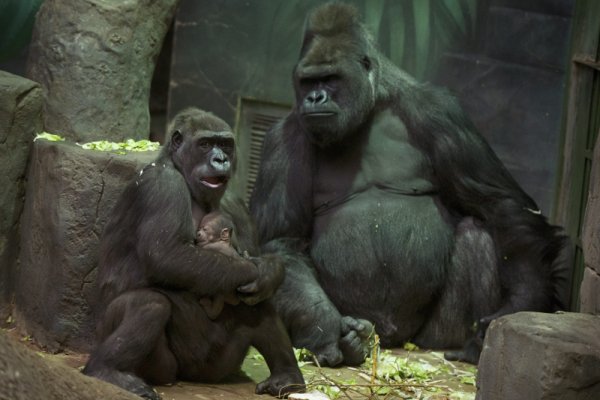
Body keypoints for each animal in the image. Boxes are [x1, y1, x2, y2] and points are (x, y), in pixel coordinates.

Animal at [83, 108, 304, 398]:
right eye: (205, 144)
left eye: (225, 145)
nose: (220, 159)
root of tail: (193, 377)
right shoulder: (164, 184)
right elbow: (168, 256)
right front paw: (252, 269)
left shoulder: (237, 204)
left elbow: (256, 264)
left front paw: (269, 271)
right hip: (163, 367)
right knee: (149, 304)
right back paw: (106, 370)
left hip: (222, 364)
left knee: (259, 303)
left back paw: (287, 376)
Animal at [248, 2, 568, 366]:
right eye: (308, 81)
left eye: (330, 78)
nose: (314, 97)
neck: (372, 105)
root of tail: (392, 338)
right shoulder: (283, 139)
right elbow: (281, 242)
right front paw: (324, 330)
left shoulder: (440, 112)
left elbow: (499, 203)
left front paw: (523, 300)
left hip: (427, 336)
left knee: (477, 234)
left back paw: (468, 347)